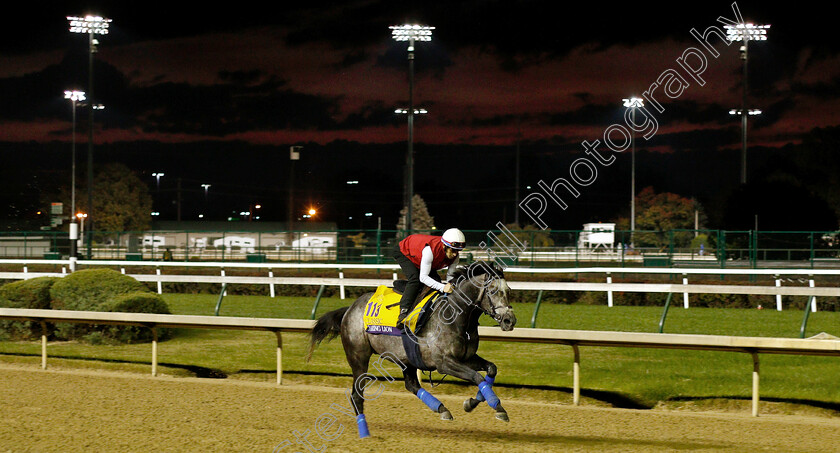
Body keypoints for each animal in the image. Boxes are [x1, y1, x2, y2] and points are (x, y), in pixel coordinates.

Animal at [306, 260, 516, 436]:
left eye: (508, 290)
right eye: (494, 291)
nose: (509, 321)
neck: (457, 316)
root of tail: (349, 309)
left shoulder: (466, 357)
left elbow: (491, 369)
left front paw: (472, 403)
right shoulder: (444, 363)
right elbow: (477, 377)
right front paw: (497, 408)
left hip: (406, 358)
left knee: (411, 385)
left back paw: (442, 409)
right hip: (358, 357)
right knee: (357, 396)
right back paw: (364, 432)